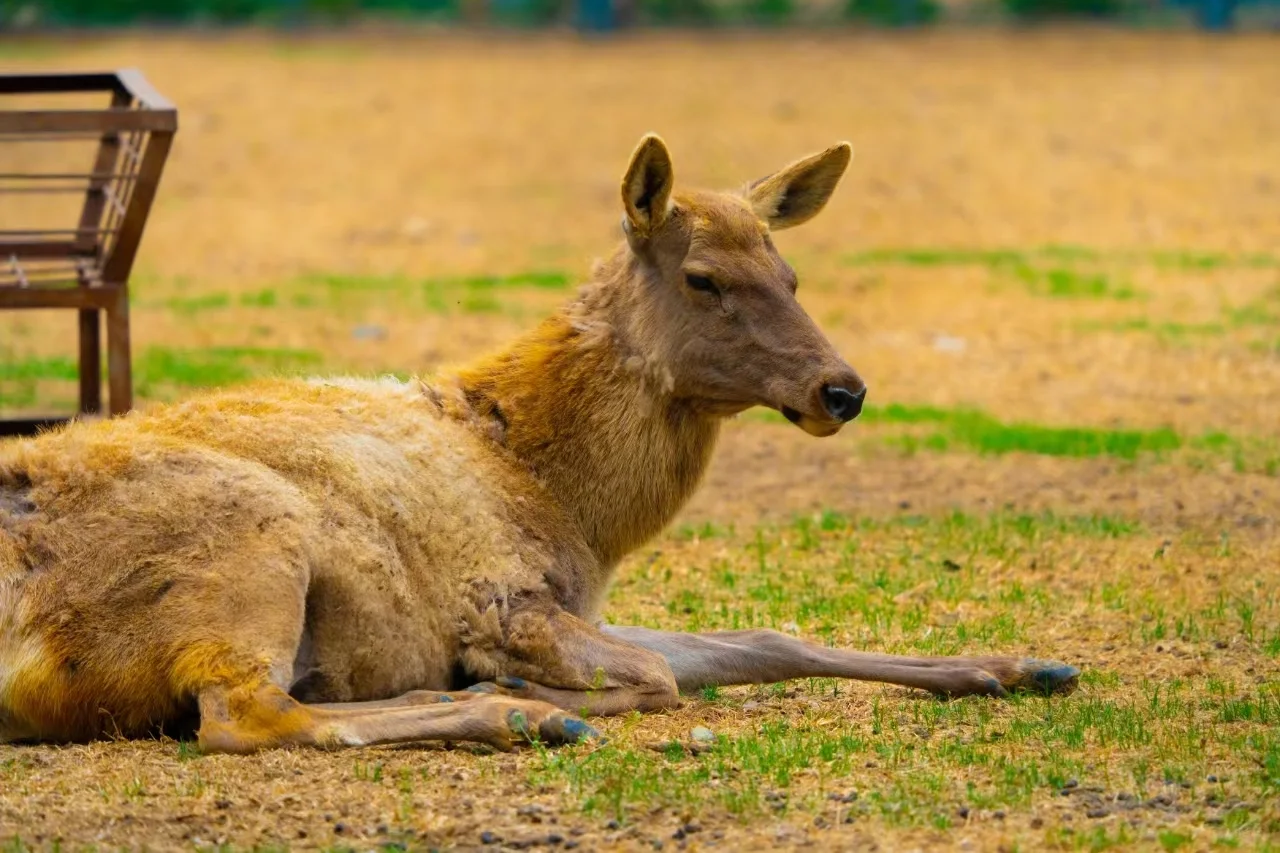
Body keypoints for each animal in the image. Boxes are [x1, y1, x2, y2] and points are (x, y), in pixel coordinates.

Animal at [0, 134, 1080, 753]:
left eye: (791, 273)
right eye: (703, 278)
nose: (841, 389)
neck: (572, 509)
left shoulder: (581, 602)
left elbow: (766, 640)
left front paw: (1017, 665)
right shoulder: (508, 599)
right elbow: (653, 679)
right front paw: (515, 684)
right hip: (246, 541)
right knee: (244, 715)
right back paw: (516, 711)